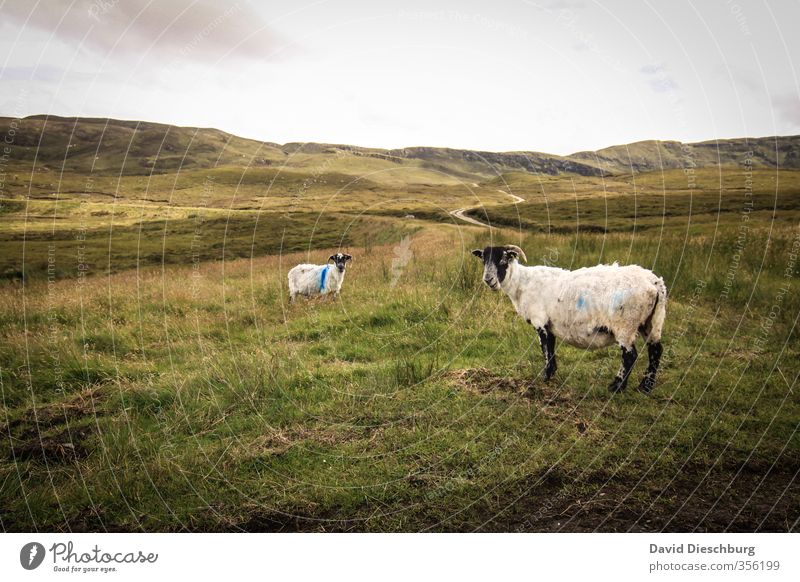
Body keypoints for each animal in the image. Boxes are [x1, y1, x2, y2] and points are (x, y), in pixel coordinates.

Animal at [472, 244, 664, 394]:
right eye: (483, 260)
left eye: (503, 260)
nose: (488, 280)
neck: (522, 284)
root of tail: (655, 283)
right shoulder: (550, 325)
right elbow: (551, 350)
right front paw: (551, 376)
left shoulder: (540, 322)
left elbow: (546, 351)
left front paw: (545, 379)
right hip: (651, 322)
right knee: (655, 350)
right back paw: (644, 388)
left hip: (625, 324)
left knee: (630, 355)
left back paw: (617, 387)